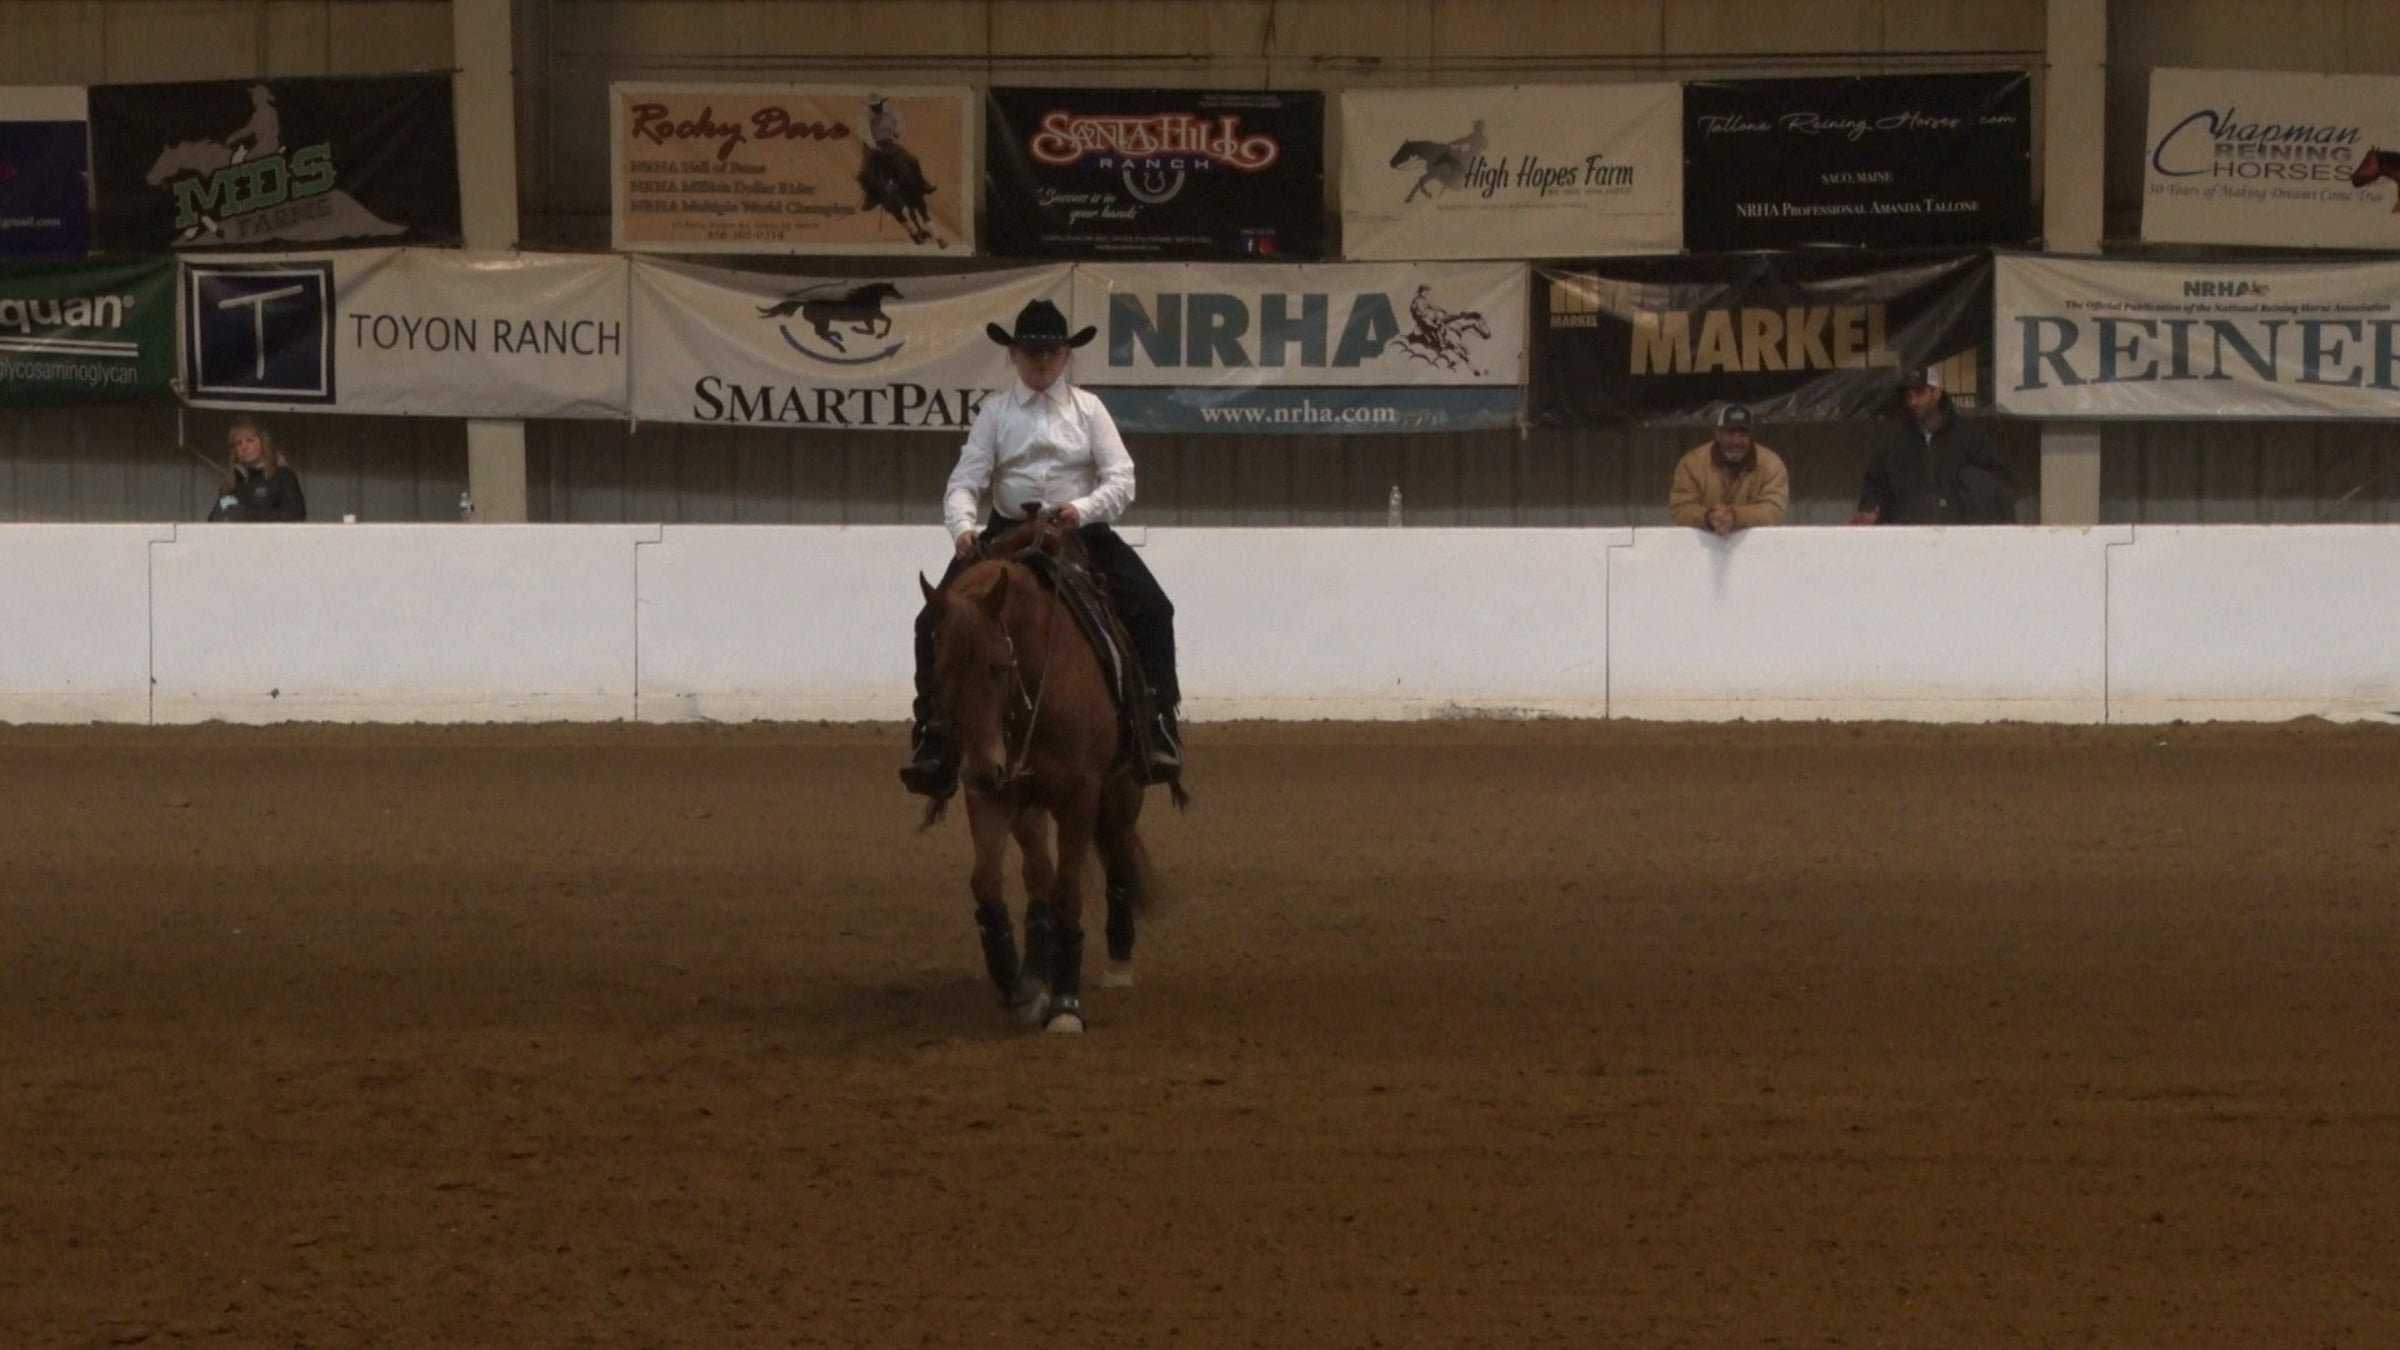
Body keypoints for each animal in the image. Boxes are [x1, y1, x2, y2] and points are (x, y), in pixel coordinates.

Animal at [917, 517, 1181, 1033]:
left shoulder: (1079, 794)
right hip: (1028, 799)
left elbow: (1069, 892)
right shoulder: (991, 793)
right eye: (937, 670)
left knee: (1117, 860)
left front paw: (1064, 1005)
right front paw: (1020, 987)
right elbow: (989, 883)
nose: (984, 767)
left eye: (999, 666)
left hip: (1120, 791)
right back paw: (1035, 971)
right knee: (1036, 874)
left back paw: (1118, 961)